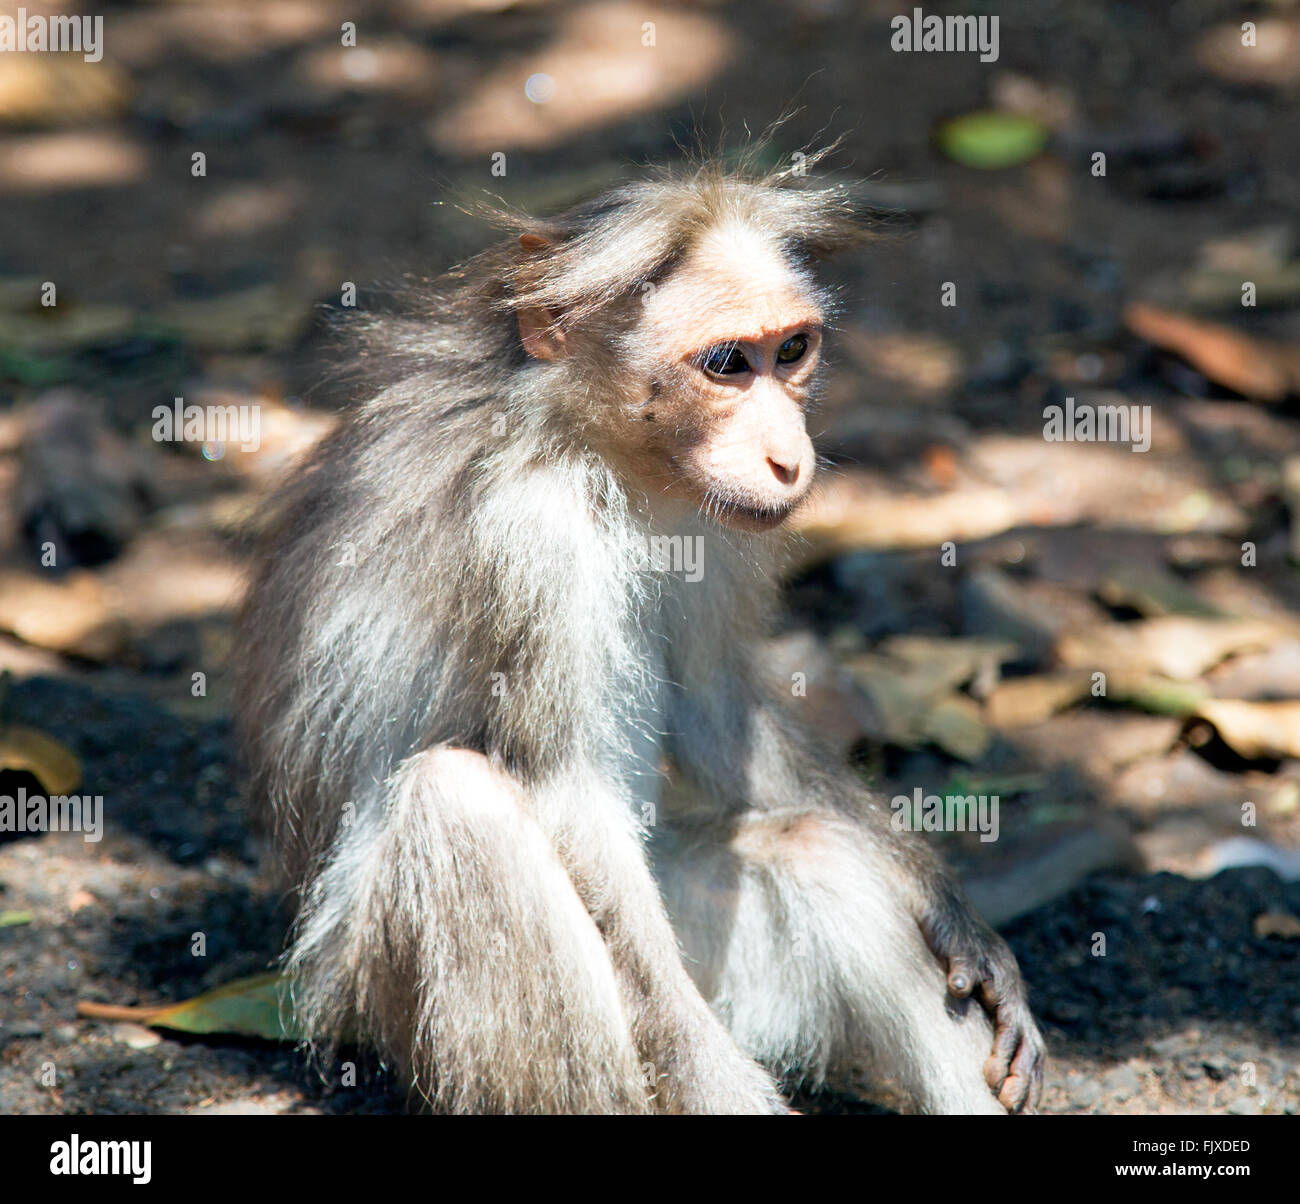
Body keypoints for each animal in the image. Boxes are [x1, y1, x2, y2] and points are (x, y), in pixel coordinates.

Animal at [235, 160, 1045, 1115]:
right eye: (727, 364)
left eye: (791, 351)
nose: (789, 458)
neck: (596, 454)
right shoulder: (531, 535)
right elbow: (569, 788)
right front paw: (715, 1076)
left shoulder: (717, 523)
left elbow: (715, 713)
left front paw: (945, 906)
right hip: (378, 1002)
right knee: (460, 807)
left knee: (805, 849)